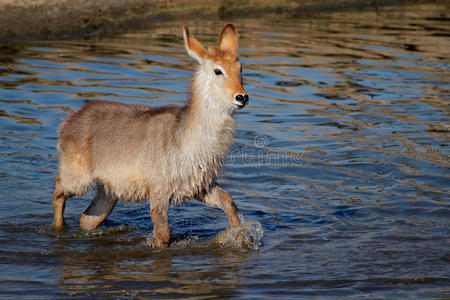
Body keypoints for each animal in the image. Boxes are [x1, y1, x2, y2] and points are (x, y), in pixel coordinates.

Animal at [54, 23, 250, 247]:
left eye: (240, 68)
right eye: (218, 70)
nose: (242, 97)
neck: (188, 140)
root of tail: (67, 122)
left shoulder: (199, 185)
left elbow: (229, 202)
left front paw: (239, 236)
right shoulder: (159, 190)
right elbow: (164, 235)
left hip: (109, 190)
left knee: (86, 219)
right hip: (79, 179)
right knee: (58, 189)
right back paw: (58, 228)